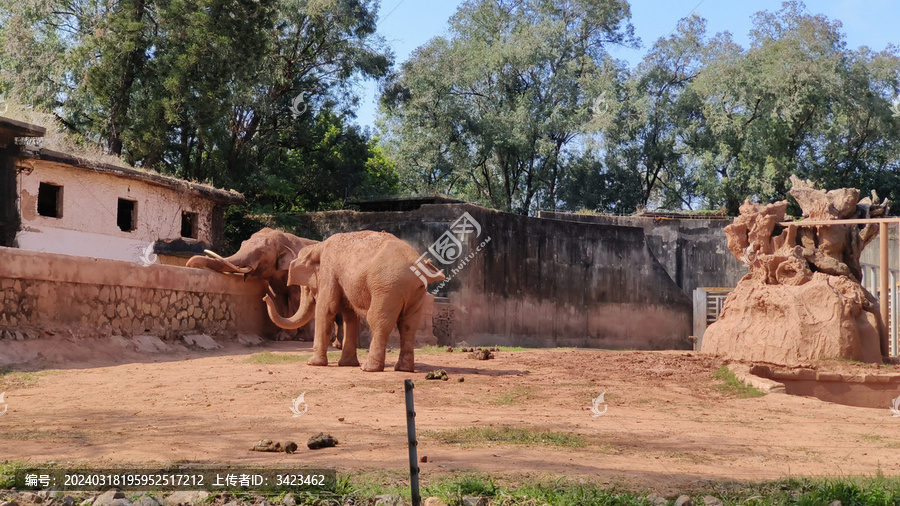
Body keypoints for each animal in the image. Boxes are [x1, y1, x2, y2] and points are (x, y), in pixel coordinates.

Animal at [262, 230, 444, 372]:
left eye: (307, 287)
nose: (265, 297)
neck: (318, 246)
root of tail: (420, 265)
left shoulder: (330, 270)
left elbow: (326, 308)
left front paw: (313, 363)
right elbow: (349, 315)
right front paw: (346, 364)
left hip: (388, 288)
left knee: (378, 321)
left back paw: (369, 368)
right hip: (415, 291)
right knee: (408, 326)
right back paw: (403, 369)